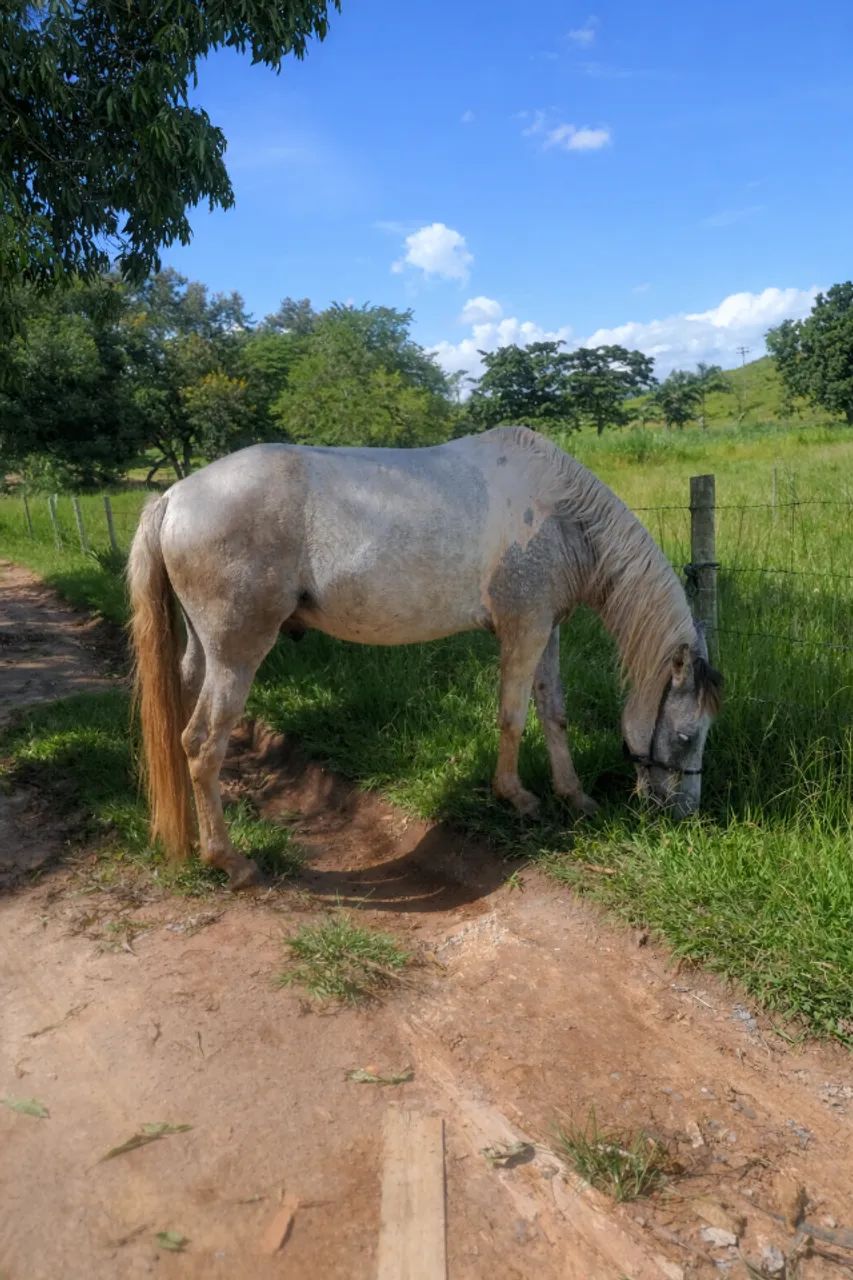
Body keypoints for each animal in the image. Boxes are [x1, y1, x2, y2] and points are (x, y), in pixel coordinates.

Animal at [128, 425, 722, 888]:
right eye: (686, 736)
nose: (683, 815)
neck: (560, 514)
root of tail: (174, 497)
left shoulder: (547, 629)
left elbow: (554, 713)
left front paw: (574, 798)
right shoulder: (523, 629)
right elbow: (513, 717)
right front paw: (518, 798)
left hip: (203, 654)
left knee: (184, 732)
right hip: (237, 656)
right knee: (201, 744)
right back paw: (231, 861)